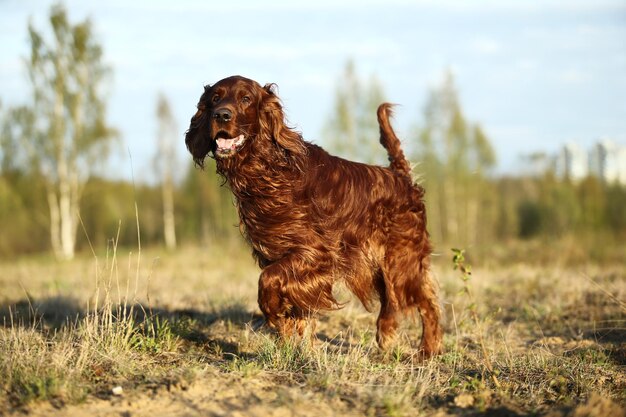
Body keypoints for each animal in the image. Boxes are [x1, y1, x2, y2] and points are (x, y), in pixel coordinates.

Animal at [183, 75, 442, 354]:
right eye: (215, 98)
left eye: (245, 98)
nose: (221, 115)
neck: (268, 170)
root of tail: (402, 177)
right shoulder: (278, 256)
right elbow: (296, 307)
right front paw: (291, 342)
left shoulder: (314, 252)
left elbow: (268, 281)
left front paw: (274, 313)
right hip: (378, 265)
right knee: (392, 301)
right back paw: (386, 334)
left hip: (401, 261)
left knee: (427, 302)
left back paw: (427, 351)